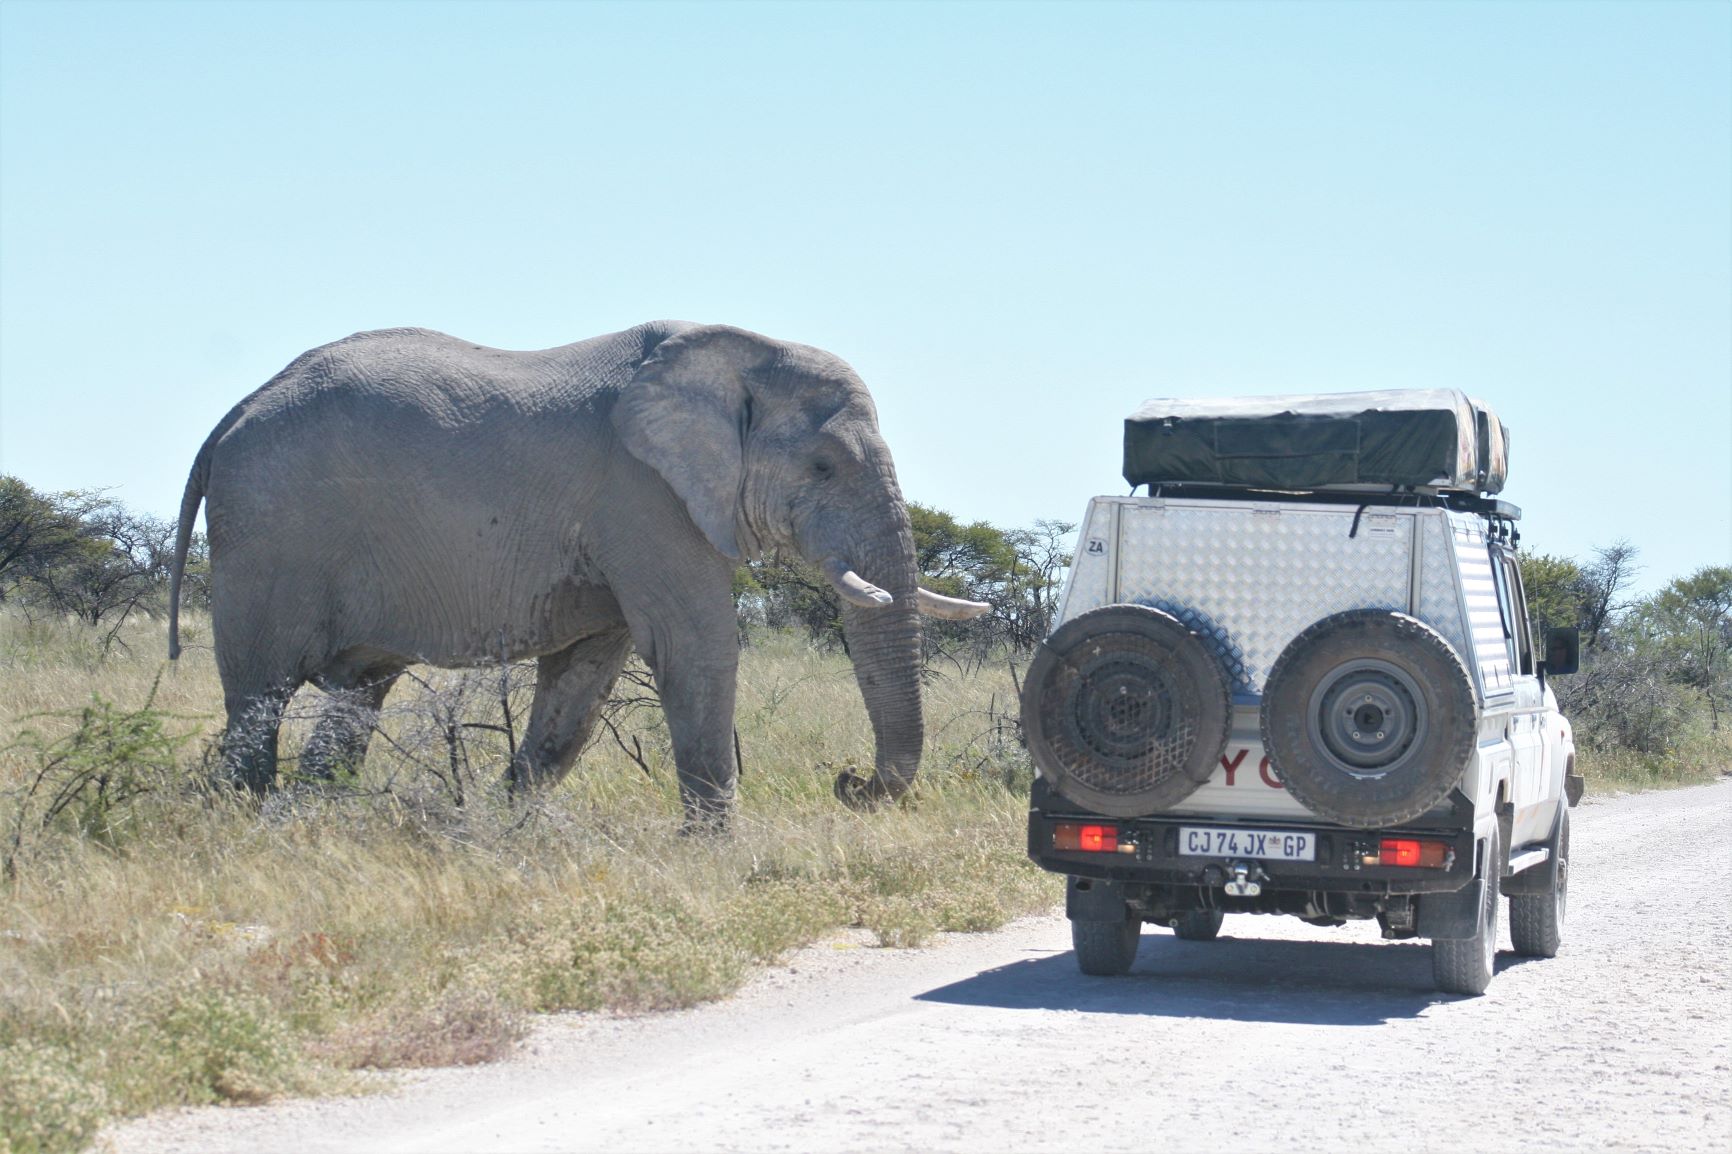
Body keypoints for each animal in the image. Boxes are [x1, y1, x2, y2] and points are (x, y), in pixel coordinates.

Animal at [172, 318, 990, 821]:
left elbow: (586, 674)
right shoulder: (644, 493)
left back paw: (314, 818)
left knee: (357, 697)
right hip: (271, 530)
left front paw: (499, 829)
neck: (742, 352)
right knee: (260, 693)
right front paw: (715, 855)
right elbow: (696, 645)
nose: (849, 782)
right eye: (822, 466)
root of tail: (231, 415)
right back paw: (244, 823)